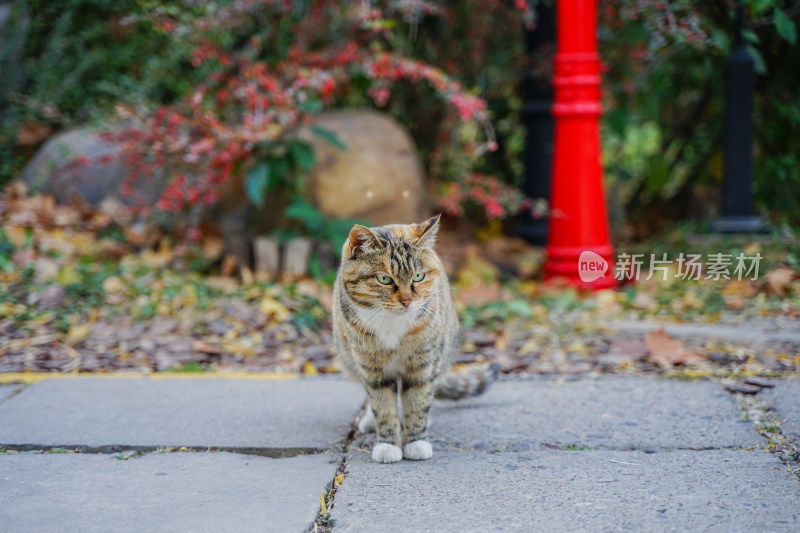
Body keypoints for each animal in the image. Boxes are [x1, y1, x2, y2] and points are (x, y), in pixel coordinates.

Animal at [330, 215, 494, 462]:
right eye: (384, 279)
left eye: (418, 276)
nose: (407, 301)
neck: (392, 323)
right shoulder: (371, 366)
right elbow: (382, 404)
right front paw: (388, 444)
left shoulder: (423, 363)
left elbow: (418, 401)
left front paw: (416, 441)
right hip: (348, 356)